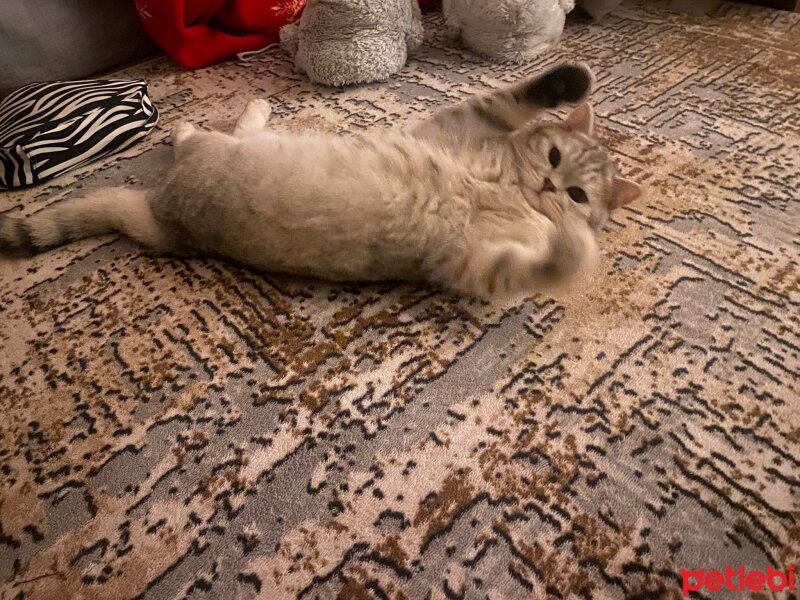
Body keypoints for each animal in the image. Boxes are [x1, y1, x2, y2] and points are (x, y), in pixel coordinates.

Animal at [0, 63, 640, 302]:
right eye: (552, 154)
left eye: (578, 195)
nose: (551, 190)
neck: (507, 188)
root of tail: (161, 212)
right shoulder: (470, 121)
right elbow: (522, 95)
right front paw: (572, 81)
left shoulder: (474, 265)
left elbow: (538, 267)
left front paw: (574, 247)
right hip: (222, 149)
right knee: (204, 132)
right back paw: (215, 115)